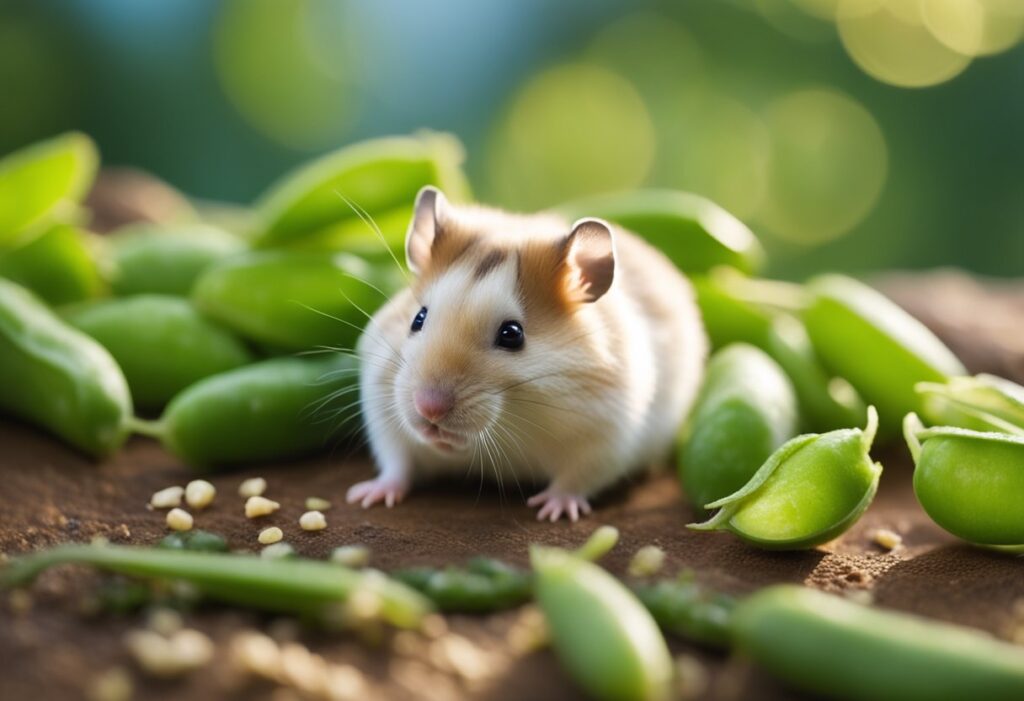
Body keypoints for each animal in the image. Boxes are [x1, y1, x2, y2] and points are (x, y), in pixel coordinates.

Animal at [347, 187, 707, 521]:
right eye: (418, 319)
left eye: (512, 334)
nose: (429, 409)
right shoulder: (383, 417)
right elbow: (398, 464)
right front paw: (365, 497)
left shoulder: (607, 438)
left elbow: (576, 479)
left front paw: (552, 511)